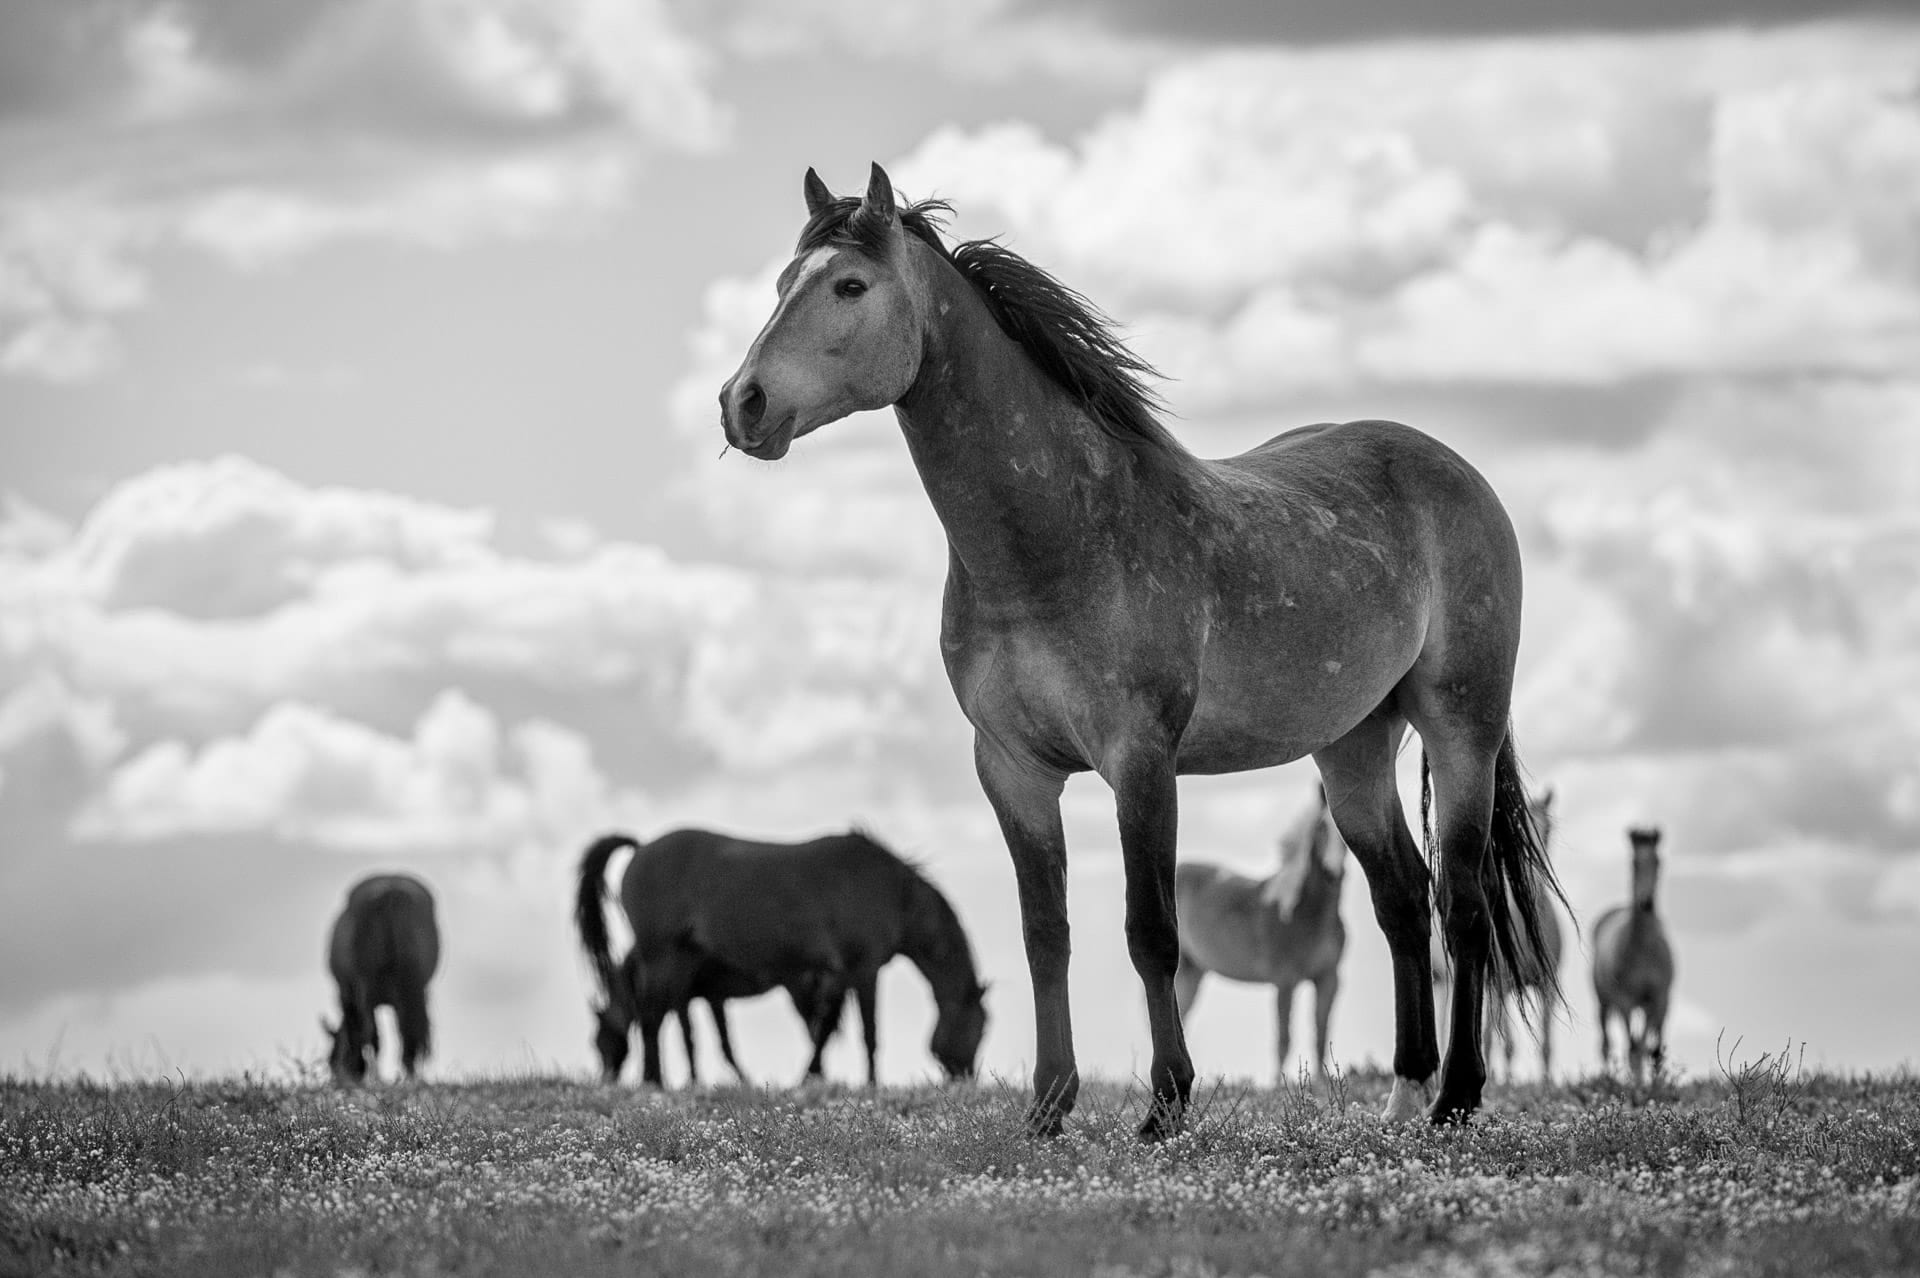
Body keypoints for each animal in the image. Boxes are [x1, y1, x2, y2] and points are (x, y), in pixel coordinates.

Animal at [324, 873, 440, 1085]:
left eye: (332, 1060)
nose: (340, 1080)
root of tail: (391, 890)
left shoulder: (347, 995)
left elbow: (364, 1033)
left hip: (366, 988)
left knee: (372, 1032)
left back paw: (377, 1077)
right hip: (414, 988)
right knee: (407, 1031)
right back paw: (410, 1076)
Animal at [575, 828, 988, 1087]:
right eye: (980, 1027)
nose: (966, 1077)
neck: (895, 893)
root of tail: (640, 847)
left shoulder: (834, 974)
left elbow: (823, 1030)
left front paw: (811, 1077)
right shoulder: (864, 968)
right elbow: (868, 1032)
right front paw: (872, 1083)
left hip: (677, 960)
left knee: (656, 1015)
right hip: (661, 955)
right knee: (649, 1015)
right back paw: (652, 1082)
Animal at [1172, 785, 1348, 1083]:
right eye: (1322, 827)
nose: (1333, 873)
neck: (1305, 910)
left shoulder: (1328, 979)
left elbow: (1321, 1034)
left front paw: (1322, 1086)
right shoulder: (1284, 981)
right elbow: (1283, 1039)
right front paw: (1279, 1087)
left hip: (1192, 973)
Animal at [1430, 788, 1565, 1080]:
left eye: (1548, 829)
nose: (1529, 882)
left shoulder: (1547, 986)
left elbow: (1546, 1045)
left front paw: (1546, 1084)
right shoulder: (1501, 986)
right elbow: (1505, 1044)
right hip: (1452, 982)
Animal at [1591, 826, 1675, 1083]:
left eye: (1658, 862)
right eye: (1635, 863)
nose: (1646, 903)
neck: (1643, 950)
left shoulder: (1658, 999)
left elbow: (1650, 1049)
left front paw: (1652, 1085)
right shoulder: (1625, 1001)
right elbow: (1633, 1048)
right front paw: (1636, 1087)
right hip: (1604, 1002)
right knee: (1607, 1044)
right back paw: (1609, 1078)